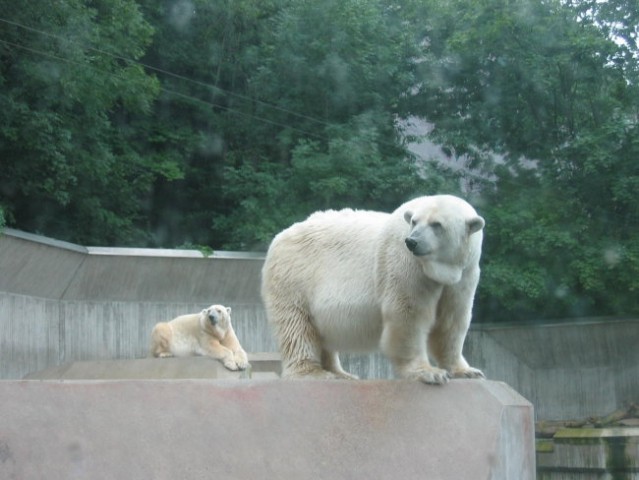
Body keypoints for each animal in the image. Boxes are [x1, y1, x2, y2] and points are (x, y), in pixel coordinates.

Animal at [260, 193, 484, 384]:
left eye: (437, 224)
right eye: (414, 221)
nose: (412, 241)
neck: (439, 269)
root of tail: (280, 236)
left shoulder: (465, 275)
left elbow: (451, 321)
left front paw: (467, 371)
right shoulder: (405, 265)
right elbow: (408, 315)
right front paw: (430, 373)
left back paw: (342, 373)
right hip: (295, 277)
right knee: (297, 326)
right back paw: (314, 373)